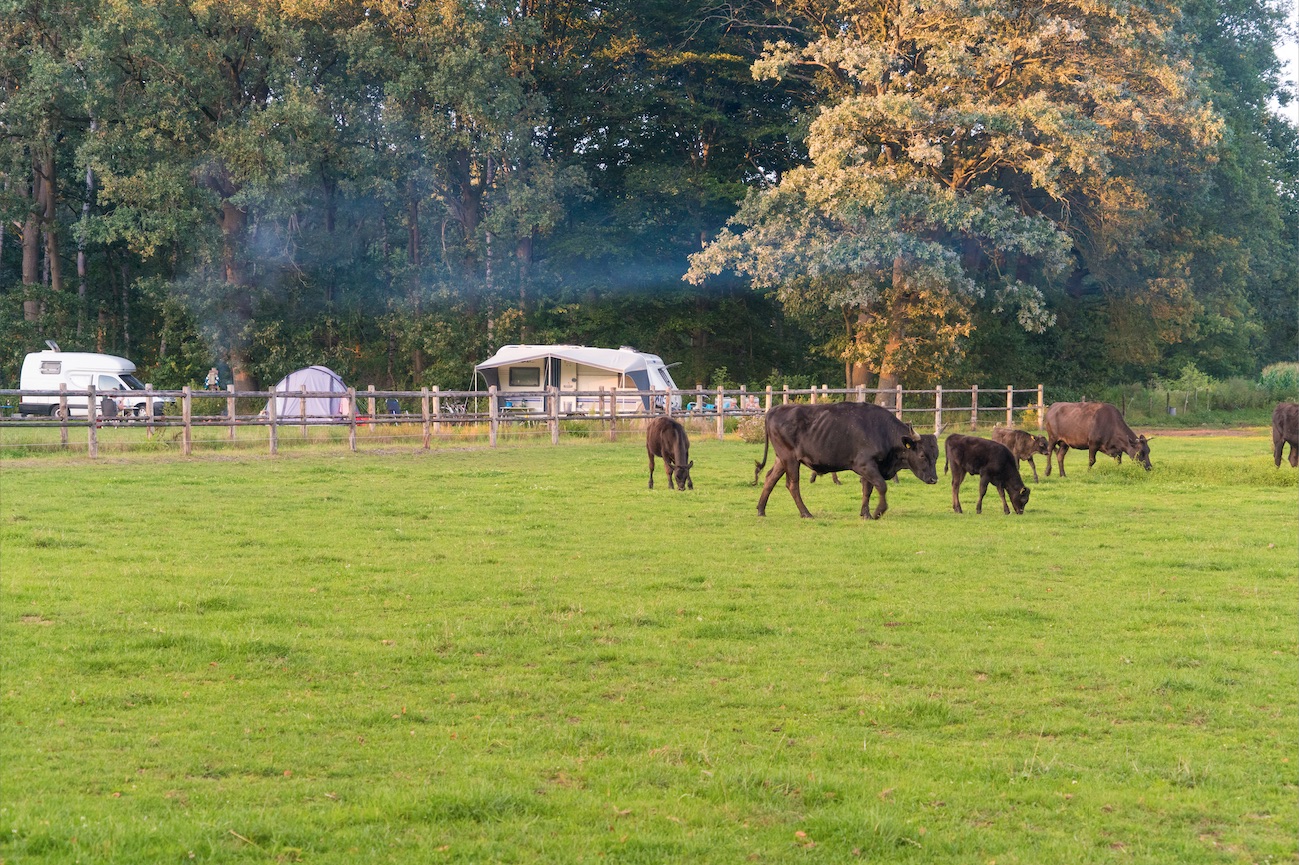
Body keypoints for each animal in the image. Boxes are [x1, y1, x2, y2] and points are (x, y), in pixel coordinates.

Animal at [748, 400, 940, 514]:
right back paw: (806, 513)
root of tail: (774, 410)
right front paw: (879, 511)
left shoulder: (871, 468)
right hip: (790, 460)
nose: (933, 479)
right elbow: (881, 486)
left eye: (937, 455)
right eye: (922, 455)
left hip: (781, 460)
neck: (881, 430)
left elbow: (868, 490)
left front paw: (865, 514)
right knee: (792, 485)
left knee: (770, 479)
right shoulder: (864, 465)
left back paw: (761, 510)